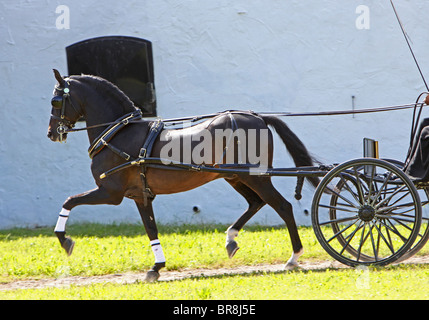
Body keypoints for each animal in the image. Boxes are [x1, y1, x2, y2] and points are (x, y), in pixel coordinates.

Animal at [46, 69, 318, 282]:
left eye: (56, 100)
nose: (51, 133)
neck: (118, 134)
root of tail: (257, 116)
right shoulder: (140, 195)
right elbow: (151, 230)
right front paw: (156, 267)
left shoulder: (110, 192)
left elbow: (69, 201)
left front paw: (64, 239)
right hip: (235, 176)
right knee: (256, 202)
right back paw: (231, 239)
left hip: (255, 177)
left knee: (282, 206)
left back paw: (294, 256)